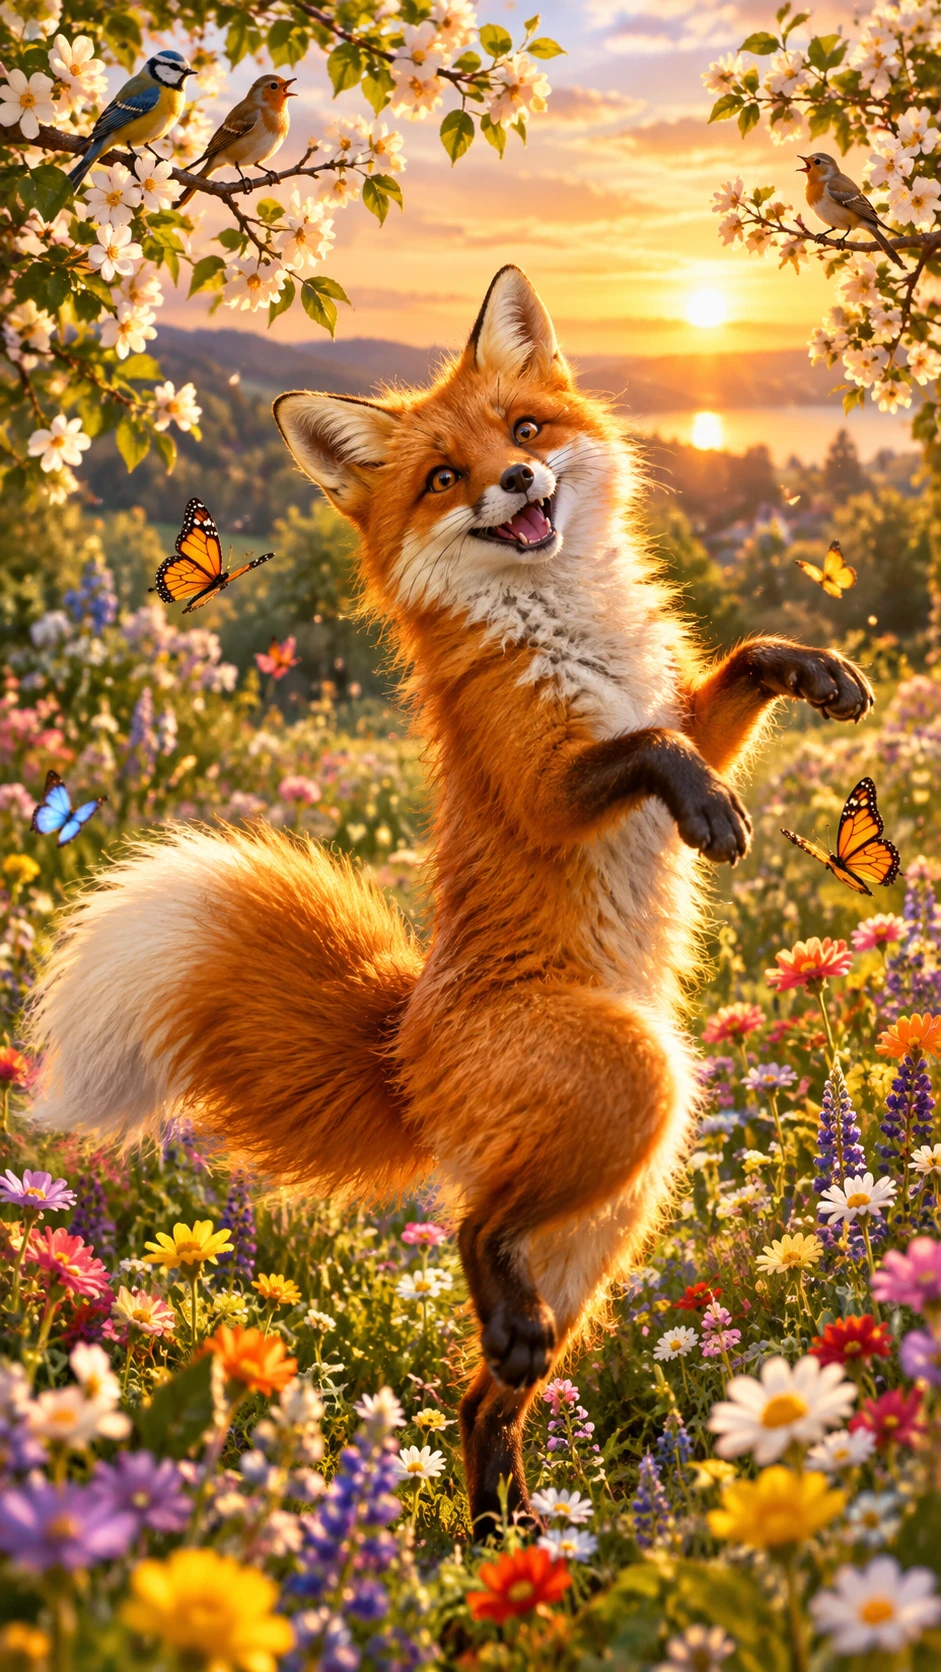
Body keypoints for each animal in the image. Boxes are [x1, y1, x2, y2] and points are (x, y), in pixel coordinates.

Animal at [29, 266, 874, 1527]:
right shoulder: (540, 778)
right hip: (638, 1084)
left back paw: (509, 1541)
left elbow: (730, 678)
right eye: (443, 478)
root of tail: (403, 1045)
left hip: (612, 1212)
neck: (565, 626)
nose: (517, 484)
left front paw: (809, 669)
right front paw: (707, 810)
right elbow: (647, 755)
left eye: (522, 434)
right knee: (475, 1232)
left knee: (486, 1395)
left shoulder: (678, 701)